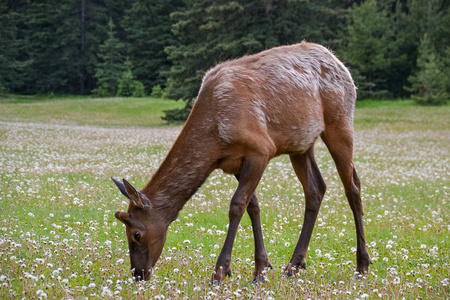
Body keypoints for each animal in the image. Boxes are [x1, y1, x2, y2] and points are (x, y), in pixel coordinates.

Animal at [111, 41, 370, 284]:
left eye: (136, 233)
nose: (138, 274)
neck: (215, 142)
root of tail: (340, 64)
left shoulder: (261, 149)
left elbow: (236, 205)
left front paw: (220, 271)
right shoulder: (235, 162)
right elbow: (252, 206)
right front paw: (261, 269)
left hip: (340, 122)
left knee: (352, 187)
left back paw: (362, 265)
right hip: (301, 144)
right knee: (316, 188)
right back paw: (294, 265)